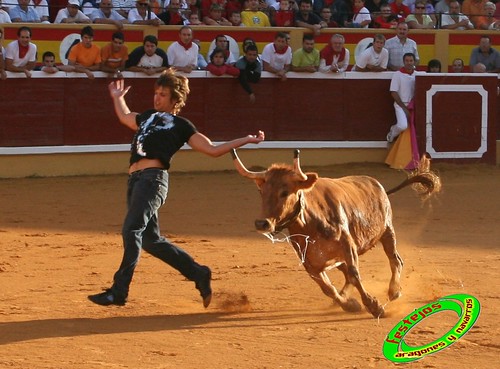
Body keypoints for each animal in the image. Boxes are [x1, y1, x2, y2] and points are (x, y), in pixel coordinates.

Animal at [231, 149, 442, 316]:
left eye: (285, 192)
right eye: (262, 192)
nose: (262, 223)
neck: (311, 223)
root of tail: (378, 185)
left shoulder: (347, 245)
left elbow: (355, 275)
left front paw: (374, 306)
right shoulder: (310, 261)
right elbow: (327, 287)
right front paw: (349, 304)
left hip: (387, 232)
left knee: (395, 260)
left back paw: (394, 291)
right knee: (347, 275)